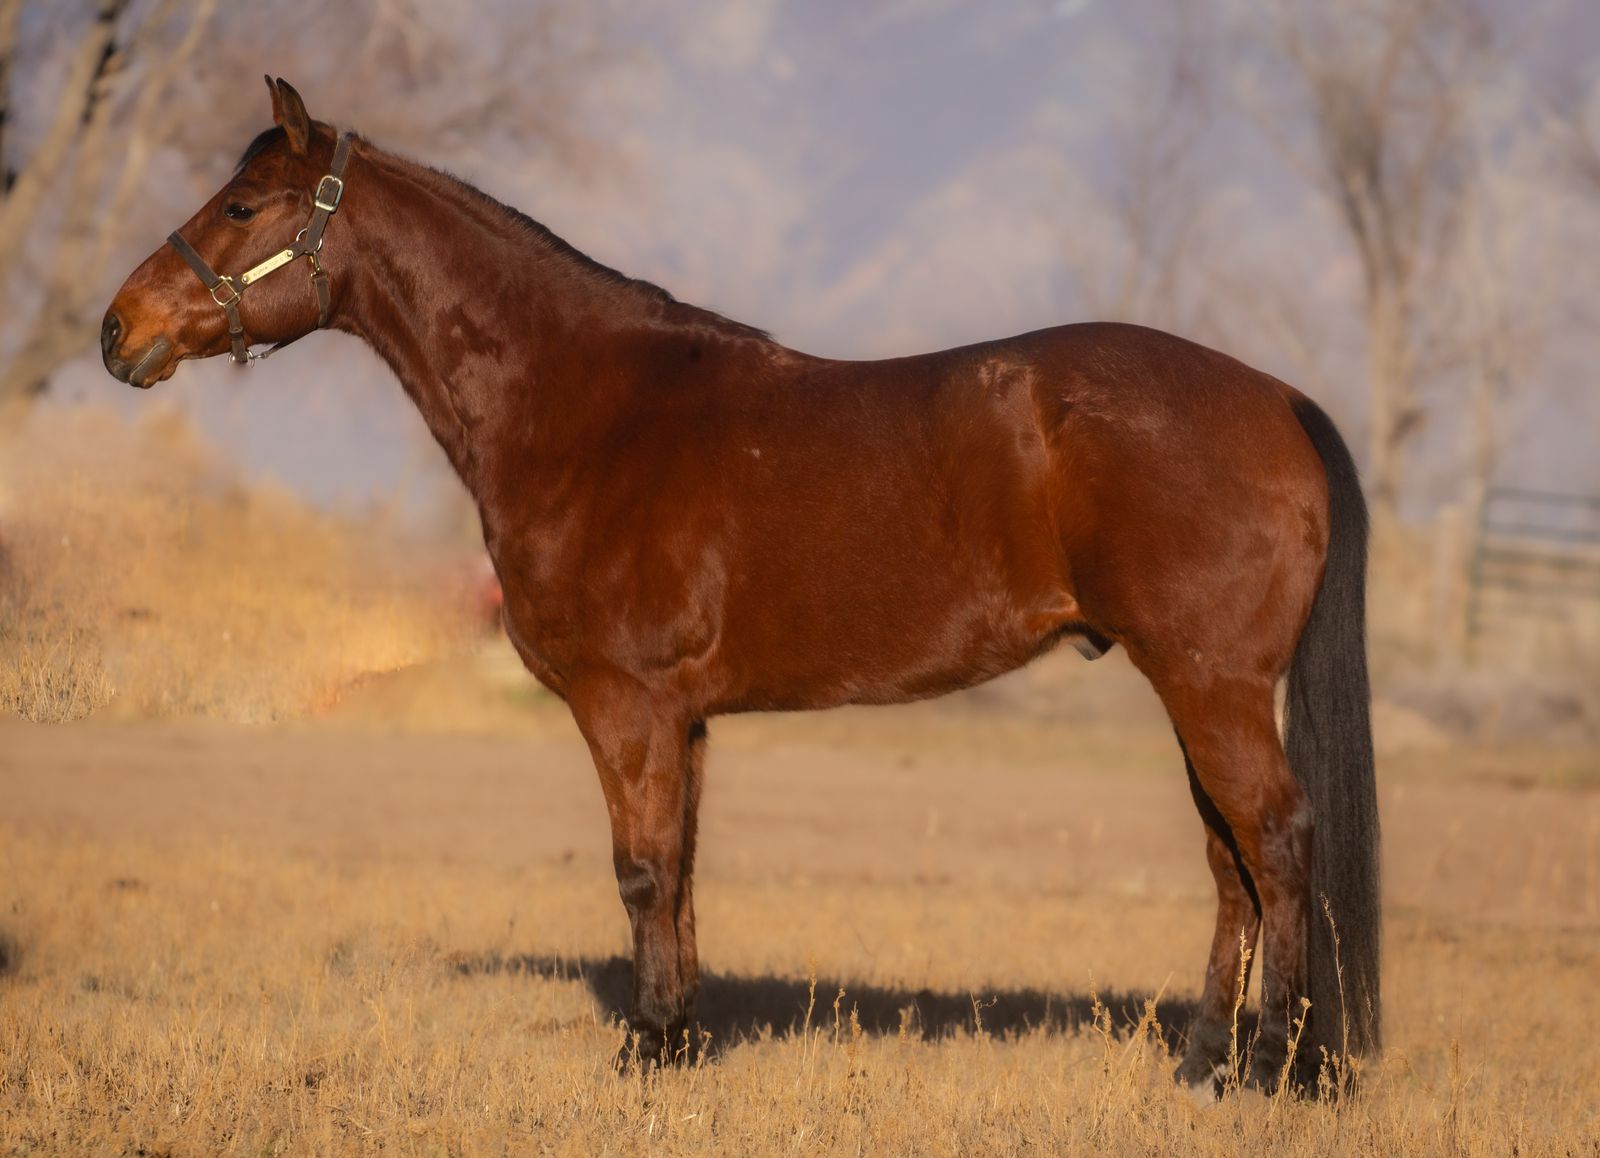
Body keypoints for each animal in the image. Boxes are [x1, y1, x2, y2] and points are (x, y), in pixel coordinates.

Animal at [102, 78, 1380, 1094]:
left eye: (242, 206)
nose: (119, 331)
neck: (586, 411)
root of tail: (1275, 400)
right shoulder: (686, 719)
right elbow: (681, 873)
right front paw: (679, 1039)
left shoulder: (624, 704)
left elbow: (639, 870)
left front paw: (646, 1050)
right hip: (1194, 689)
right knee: (1230, 862)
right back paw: (1201, 1061)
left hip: (1210, 687)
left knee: (1275, 843)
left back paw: (1269, 1068)